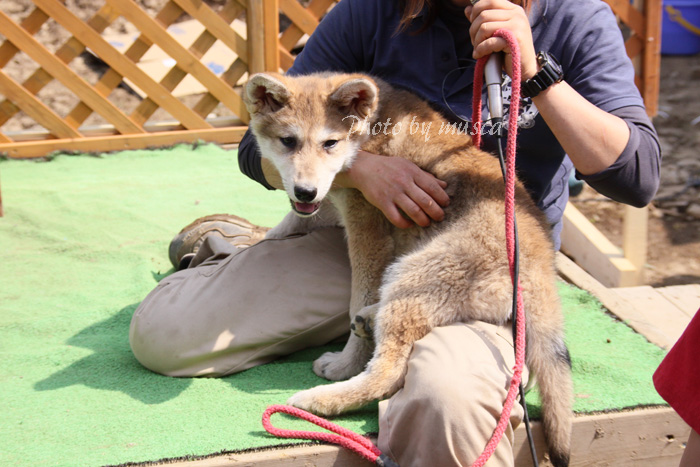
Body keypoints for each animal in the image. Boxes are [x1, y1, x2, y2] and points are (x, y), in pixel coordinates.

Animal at [243, 71, 572, 466]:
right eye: (288, 141)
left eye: (329, 143)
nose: (306, 191)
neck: (368, 130)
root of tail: (540, 270)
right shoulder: (326, 203)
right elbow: (286, 225)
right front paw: (253, 240)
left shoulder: (365, 226)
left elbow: (356, 296)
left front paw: (345, 364)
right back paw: (369, 319)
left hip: (413, 272)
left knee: (387, 372)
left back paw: (320, 399)